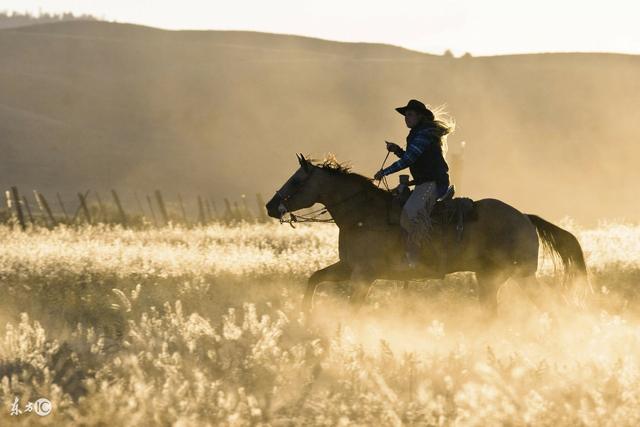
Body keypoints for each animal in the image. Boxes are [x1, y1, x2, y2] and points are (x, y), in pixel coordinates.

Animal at [264, 155, 592, 316]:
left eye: (297, 180)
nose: (270, 205)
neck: (362, 214)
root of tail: (525, 218)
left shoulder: (363, 275)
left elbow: (353, 307)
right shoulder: (348, 268)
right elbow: (314, 280)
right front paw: (307, 316)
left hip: (518, 276)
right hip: (489, 278)